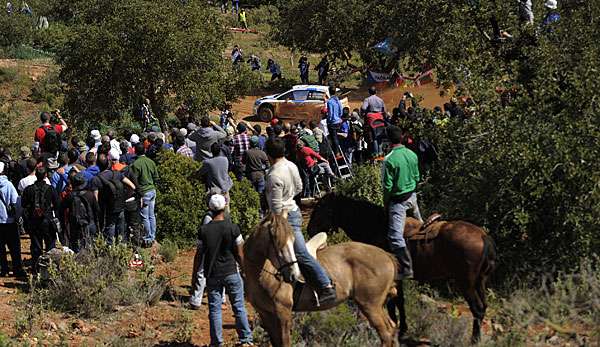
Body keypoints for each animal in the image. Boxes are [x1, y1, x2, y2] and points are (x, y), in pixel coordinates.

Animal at [241, 215, 400, 347]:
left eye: (292, 241)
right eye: (275, 239)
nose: (292, 275)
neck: (263, 275)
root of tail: (386, 255)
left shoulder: (283, 313)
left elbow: (285, 343)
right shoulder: (266, 314)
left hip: (370, 305)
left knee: (386, 333)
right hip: (377, 305)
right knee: (392, 329)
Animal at [308, 194, 494, 344]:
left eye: (321, 208)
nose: (309, 229)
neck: (374, 226)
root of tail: (483, 236)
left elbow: (392, 304)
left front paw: (397, 329)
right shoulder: (398, 280)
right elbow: (400, 302)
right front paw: (403, 329)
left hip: (465, 283)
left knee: (477, 309)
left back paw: (474, 340)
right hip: (480, 282)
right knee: (484, 307)